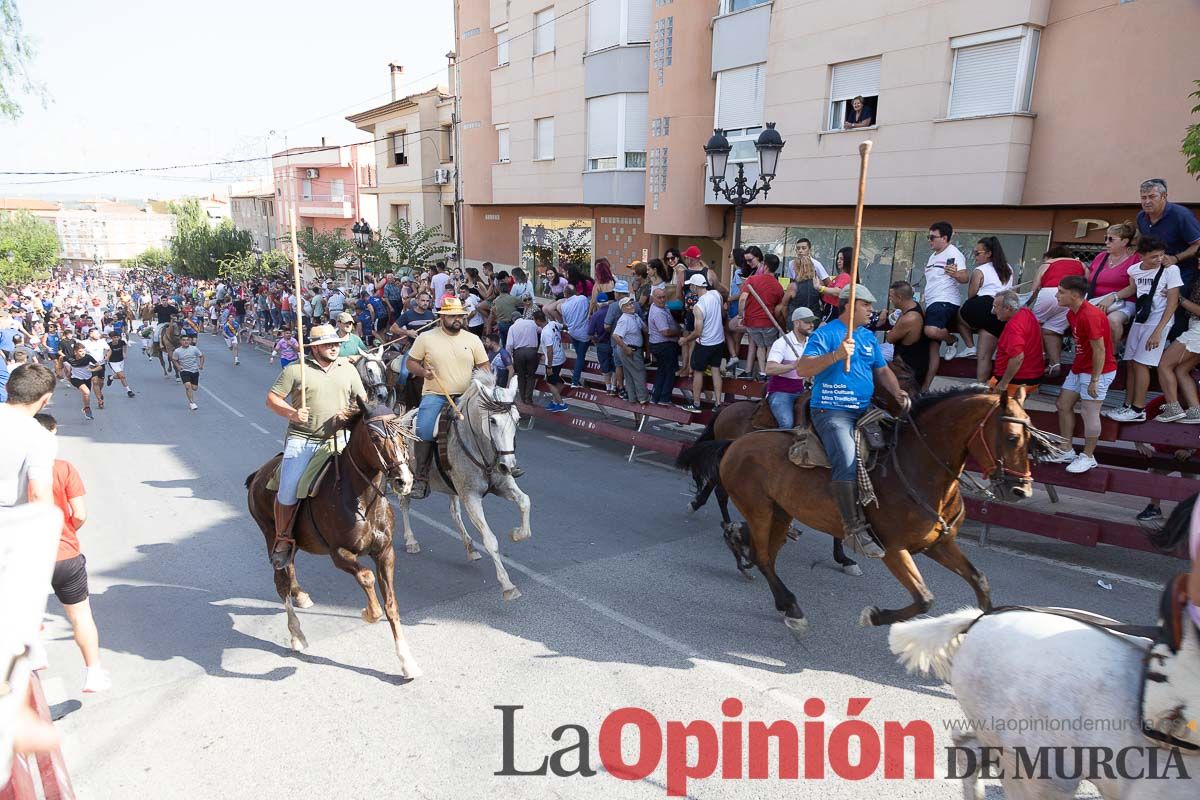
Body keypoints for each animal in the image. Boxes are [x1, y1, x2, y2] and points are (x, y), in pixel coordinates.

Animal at [246, 400, 424, 676]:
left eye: (402, 435)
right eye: (375, 437)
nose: (403, 480)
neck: (361, 499)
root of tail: (257, 475)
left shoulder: (385, 551)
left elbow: (392, 605)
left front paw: (407, 662)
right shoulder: (339, 553)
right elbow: (366, 577)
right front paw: (368, 613)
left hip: (294, 544)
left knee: (290, 568)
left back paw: (300, 595)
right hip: (271, 535)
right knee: (280, 581)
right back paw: (296, 634)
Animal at [396, 371, 532, 599]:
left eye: (517, 418)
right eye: (493, 420)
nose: (509, 466)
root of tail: (403, 418)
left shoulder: (502, 485)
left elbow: (525, 501)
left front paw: (518, 533)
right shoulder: (471, 496)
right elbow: (490, 540)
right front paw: (507, 585)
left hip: (451, 486)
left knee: (454, 513)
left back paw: (470, 547)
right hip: (406, 479)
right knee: (404, 504)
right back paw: (410, 541)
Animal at [691, 388, 1036, 638]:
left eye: (1031, 438)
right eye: (1012, 437)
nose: (1021, 491)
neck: (917, 467)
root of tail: (735, 444)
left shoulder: (939, 544)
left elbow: (980, 582)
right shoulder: (893, 549)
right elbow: (924, 598)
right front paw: (873, 616)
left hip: (781, 511)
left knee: (765, 554)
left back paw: (749, 559)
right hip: (761, 509)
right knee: (763, 556)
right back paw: (790, 605)